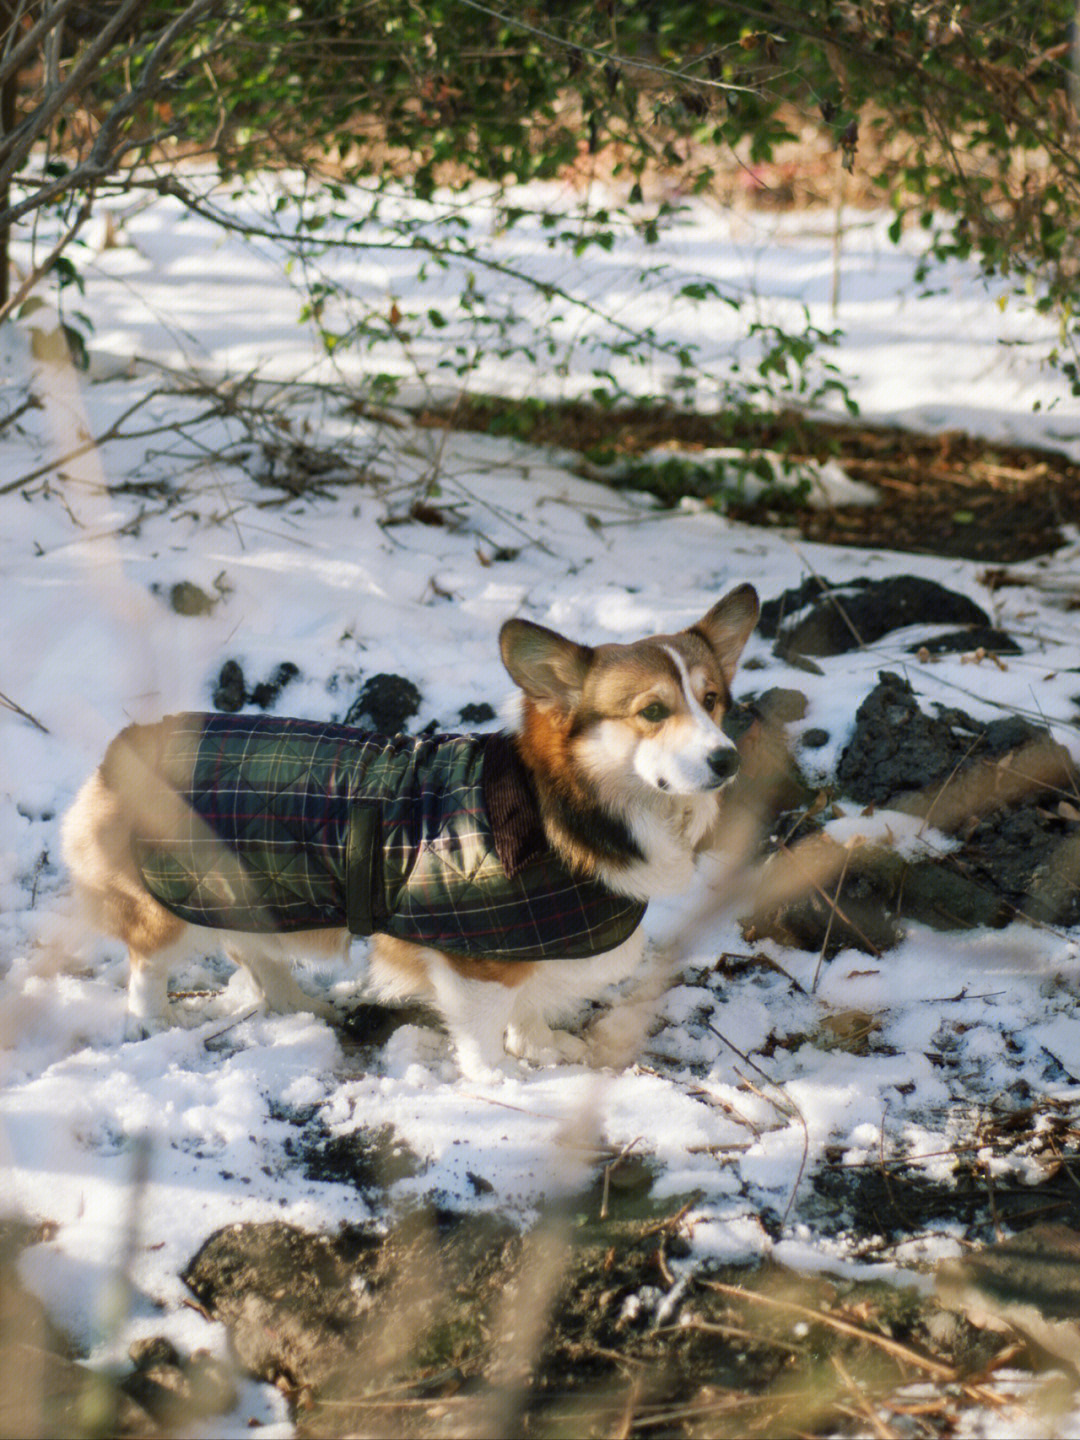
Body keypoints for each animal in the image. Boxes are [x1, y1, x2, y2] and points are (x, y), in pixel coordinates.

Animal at [61, 578, 760, 1077]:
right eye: (653, 711)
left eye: (713, 700)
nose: (729, 761)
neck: (564, 807)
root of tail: (122, 751)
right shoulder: (475, 964)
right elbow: (484, 1035)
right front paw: (504, 1081)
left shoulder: (534, 954)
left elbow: (530, 1008)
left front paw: (544, 1049)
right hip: (169, 908)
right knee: (149, 962)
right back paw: (151, 1023)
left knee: (254, 953)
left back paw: (303, 1005)